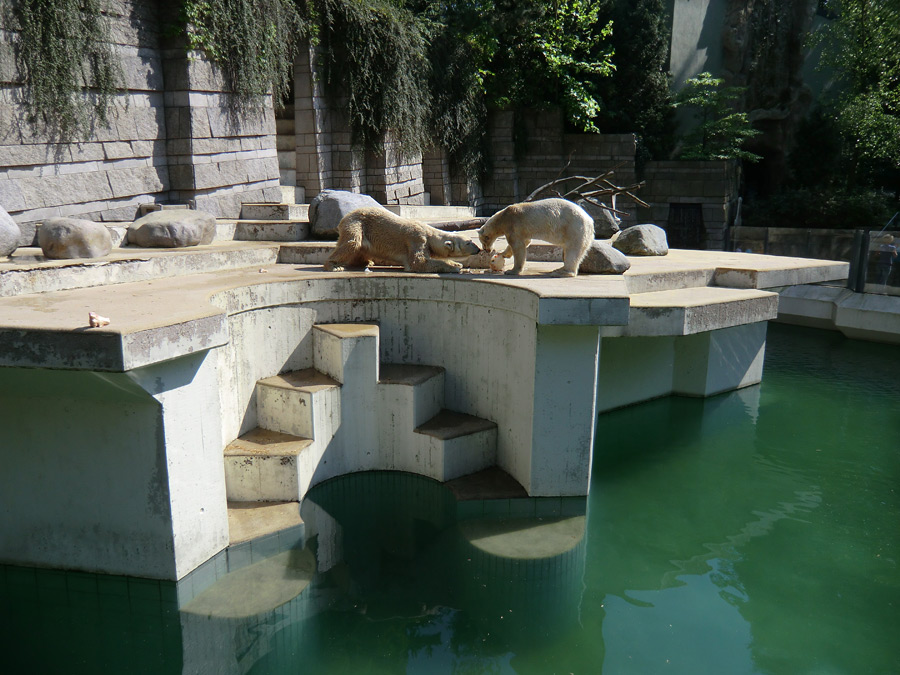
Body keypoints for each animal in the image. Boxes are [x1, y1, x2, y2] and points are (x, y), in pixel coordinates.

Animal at [322, 207, 478, 274]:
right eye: (468, 242)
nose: (478, 249)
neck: (430, 233)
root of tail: (344, 218)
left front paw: (456, 263)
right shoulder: (417, 238)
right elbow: (418, 262)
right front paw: (456, 267)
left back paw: (367, 262)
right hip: (357, 223)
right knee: (352, 242)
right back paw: (334, 266)